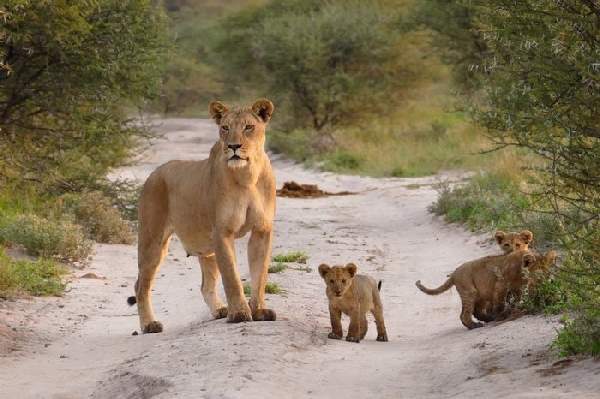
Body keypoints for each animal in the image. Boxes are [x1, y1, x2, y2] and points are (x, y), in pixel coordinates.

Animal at [128, 99, 276, 334]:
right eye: (225, 128)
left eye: (248, 127)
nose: (233, 146)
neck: (247, 175)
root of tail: (154, 173)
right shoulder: (222, 232)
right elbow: (231, 276)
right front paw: (240, 313)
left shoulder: (262, 230)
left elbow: (259, 274)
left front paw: (260, 311)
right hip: (153, 241)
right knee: (141, 284)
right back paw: (149, 324)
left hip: (206, 247)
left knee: (205, 285)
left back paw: (220, 310)